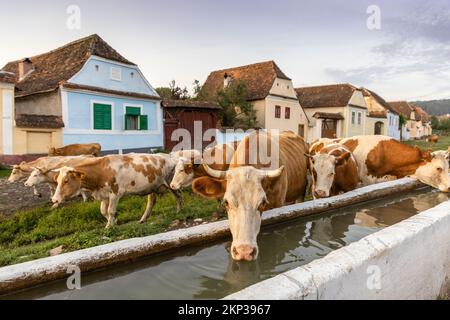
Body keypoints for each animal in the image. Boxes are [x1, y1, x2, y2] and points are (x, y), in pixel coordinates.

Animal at [51, 154, 186, 229]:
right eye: (57, 180)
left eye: (66, 181)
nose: (54, 199)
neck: (101, 171)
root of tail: (171, 157)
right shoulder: (104, 195)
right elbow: (103, 211)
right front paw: (113, 222)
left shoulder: (115, 194)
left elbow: (110, 211)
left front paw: (109, 226)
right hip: (152, 186)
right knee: (151, 201)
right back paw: (143, 219)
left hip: (172, 184)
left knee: (179, 196)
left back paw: (179, 211)